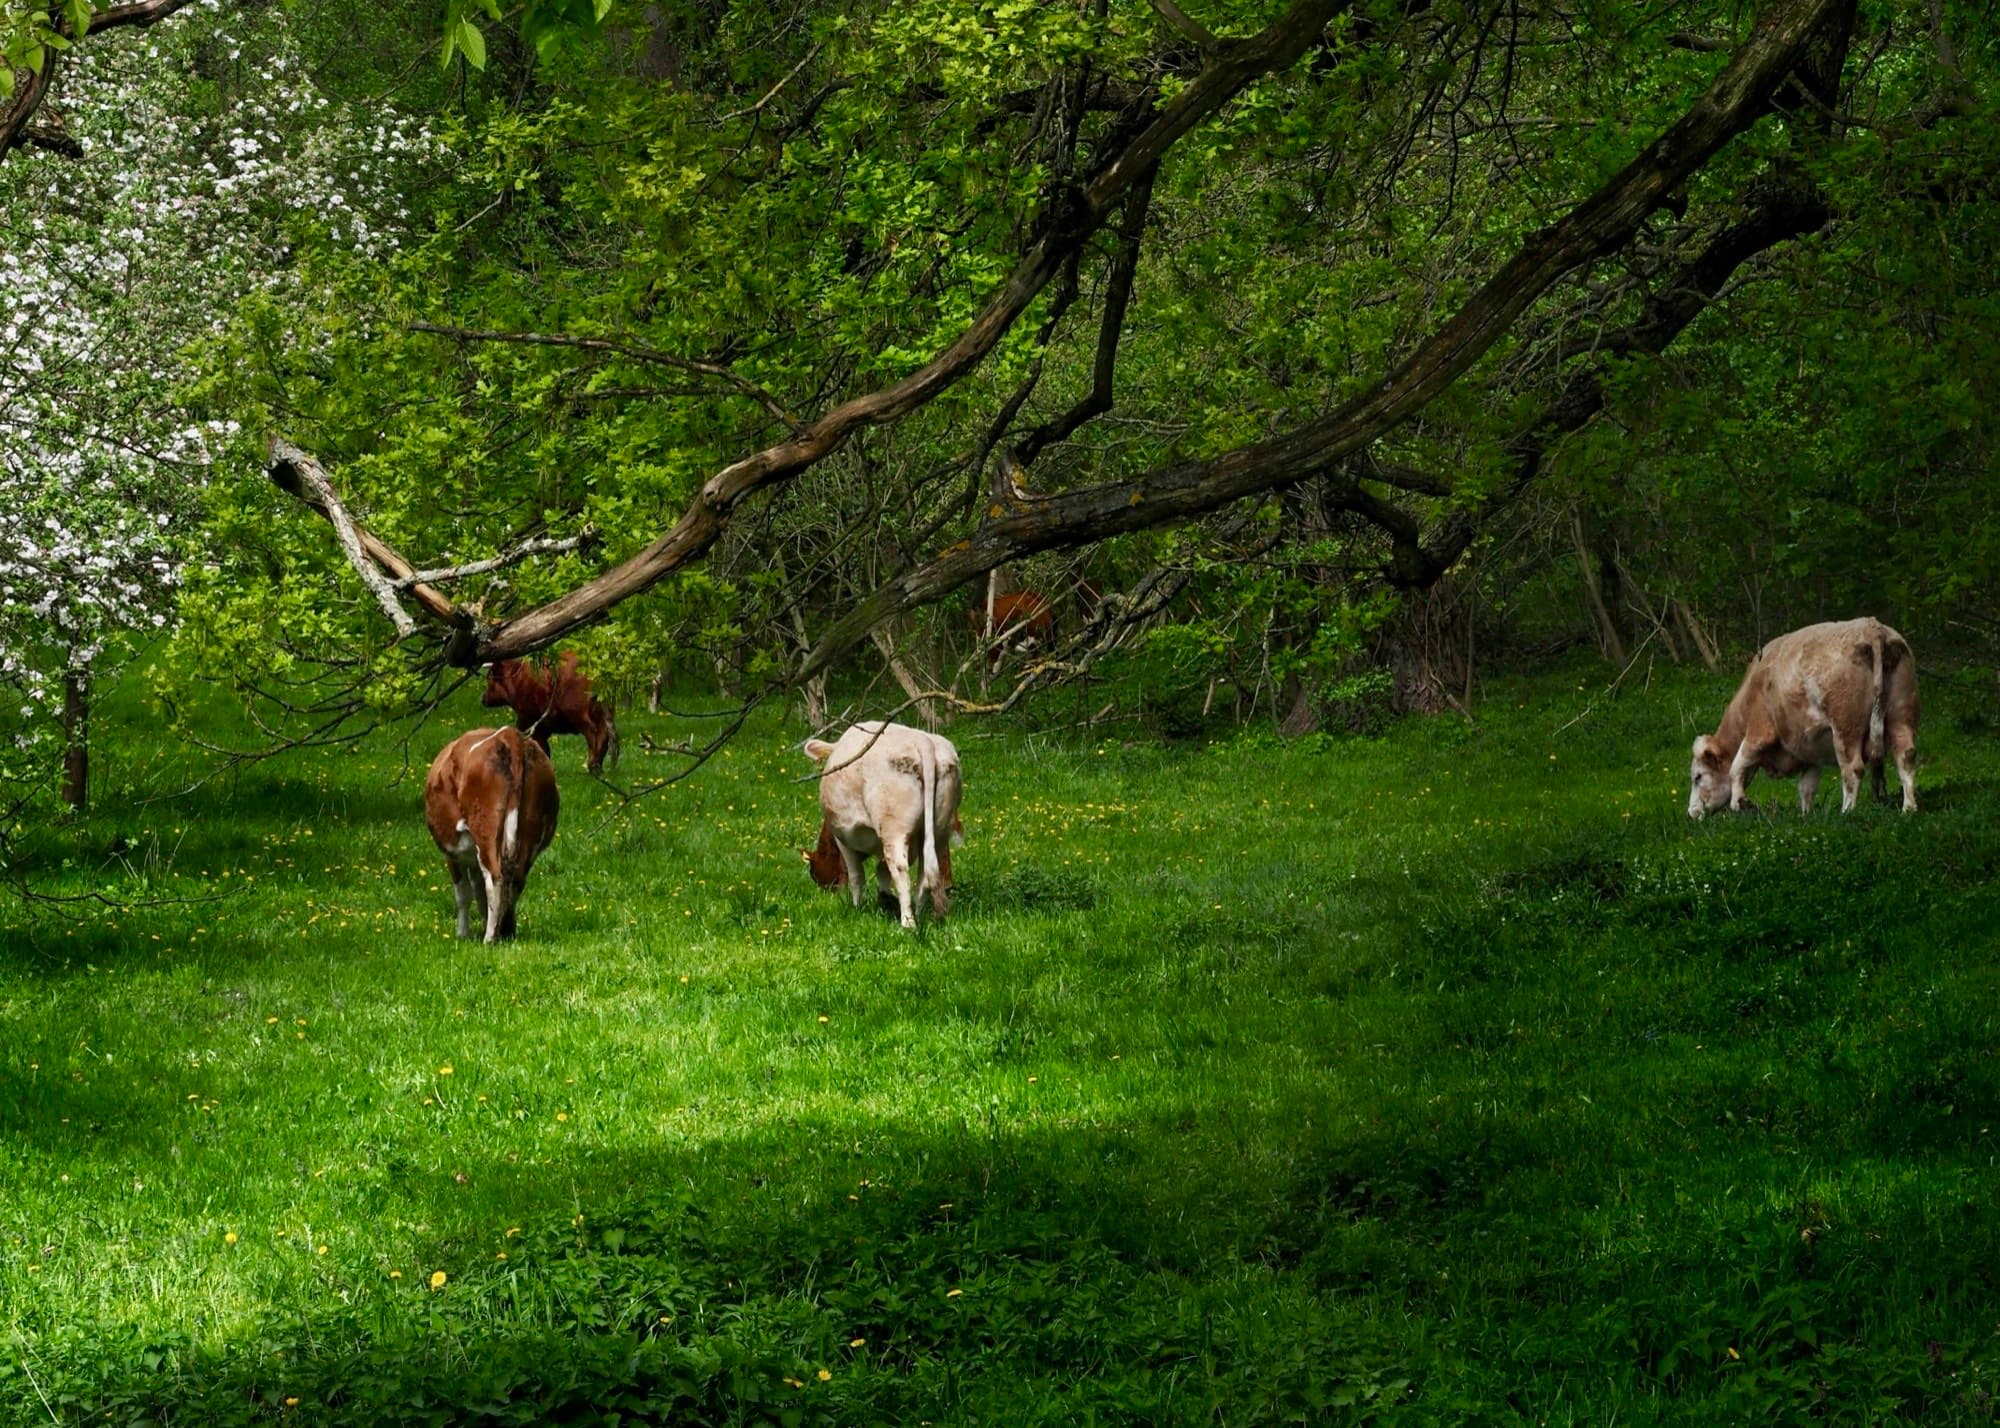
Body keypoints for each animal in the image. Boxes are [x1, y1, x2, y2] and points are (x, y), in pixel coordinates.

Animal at [424, 727, 560, 942]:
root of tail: (509, 734)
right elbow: (478, 893)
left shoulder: (452, 854)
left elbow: (463, 894)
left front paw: (463, 933)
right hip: (530, 833)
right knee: (515, 880)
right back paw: (506, 931)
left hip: (485, 830)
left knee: (495, 878)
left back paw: (489, 938)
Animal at [483, 650, 620, 775]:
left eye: (489, 677)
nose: (483, 698)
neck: (517, 679)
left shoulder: (528, 719)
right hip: (603, 711)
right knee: (605, 733)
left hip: (577, 711)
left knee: (592, 732)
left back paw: (593, 766)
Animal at [802, 722, 963, 928]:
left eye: (816, 875)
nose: (828, 893)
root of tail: (923, 741)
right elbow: (882, 869)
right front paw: (885, 899)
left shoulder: (842, 838)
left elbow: (856, 875)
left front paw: (857, 907)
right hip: (939, 829)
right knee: (925, 873)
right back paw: (919, 914)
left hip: (894, 829)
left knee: (901, 870)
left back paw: (908, 922)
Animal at [1688, 617, 1918, 819]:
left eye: (1698, 776)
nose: (1692, 813)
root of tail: (1872, 627)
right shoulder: (1811, 752)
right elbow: (1806, 787)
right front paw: (1806, 815)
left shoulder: (1759, 732)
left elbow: (1737, 766)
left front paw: (1740, 803)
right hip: (1900, 715)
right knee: (1905, 756)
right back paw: (1908, 808)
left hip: (1845, 728)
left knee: (1853, 769)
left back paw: (1846, 813)